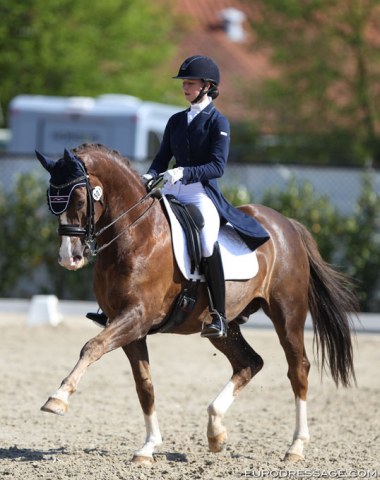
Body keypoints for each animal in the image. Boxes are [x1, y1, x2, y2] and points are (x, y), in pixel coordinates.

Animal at [35, 143, 356, 464]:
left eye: (79, 199)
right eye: (52, 202)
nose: (69, 258)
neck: (136, 233)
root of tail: (286, 224)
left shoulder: (137, 317)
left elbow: (93, 346)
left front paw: (57, 398)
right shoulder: (129, 327)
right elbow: (144, 385)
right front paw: (148, 447)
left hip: (287, 313)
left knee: (298, 369)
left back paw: (296, 446)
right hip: (224, 326)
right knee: (250, 362)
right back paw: (216, 432)